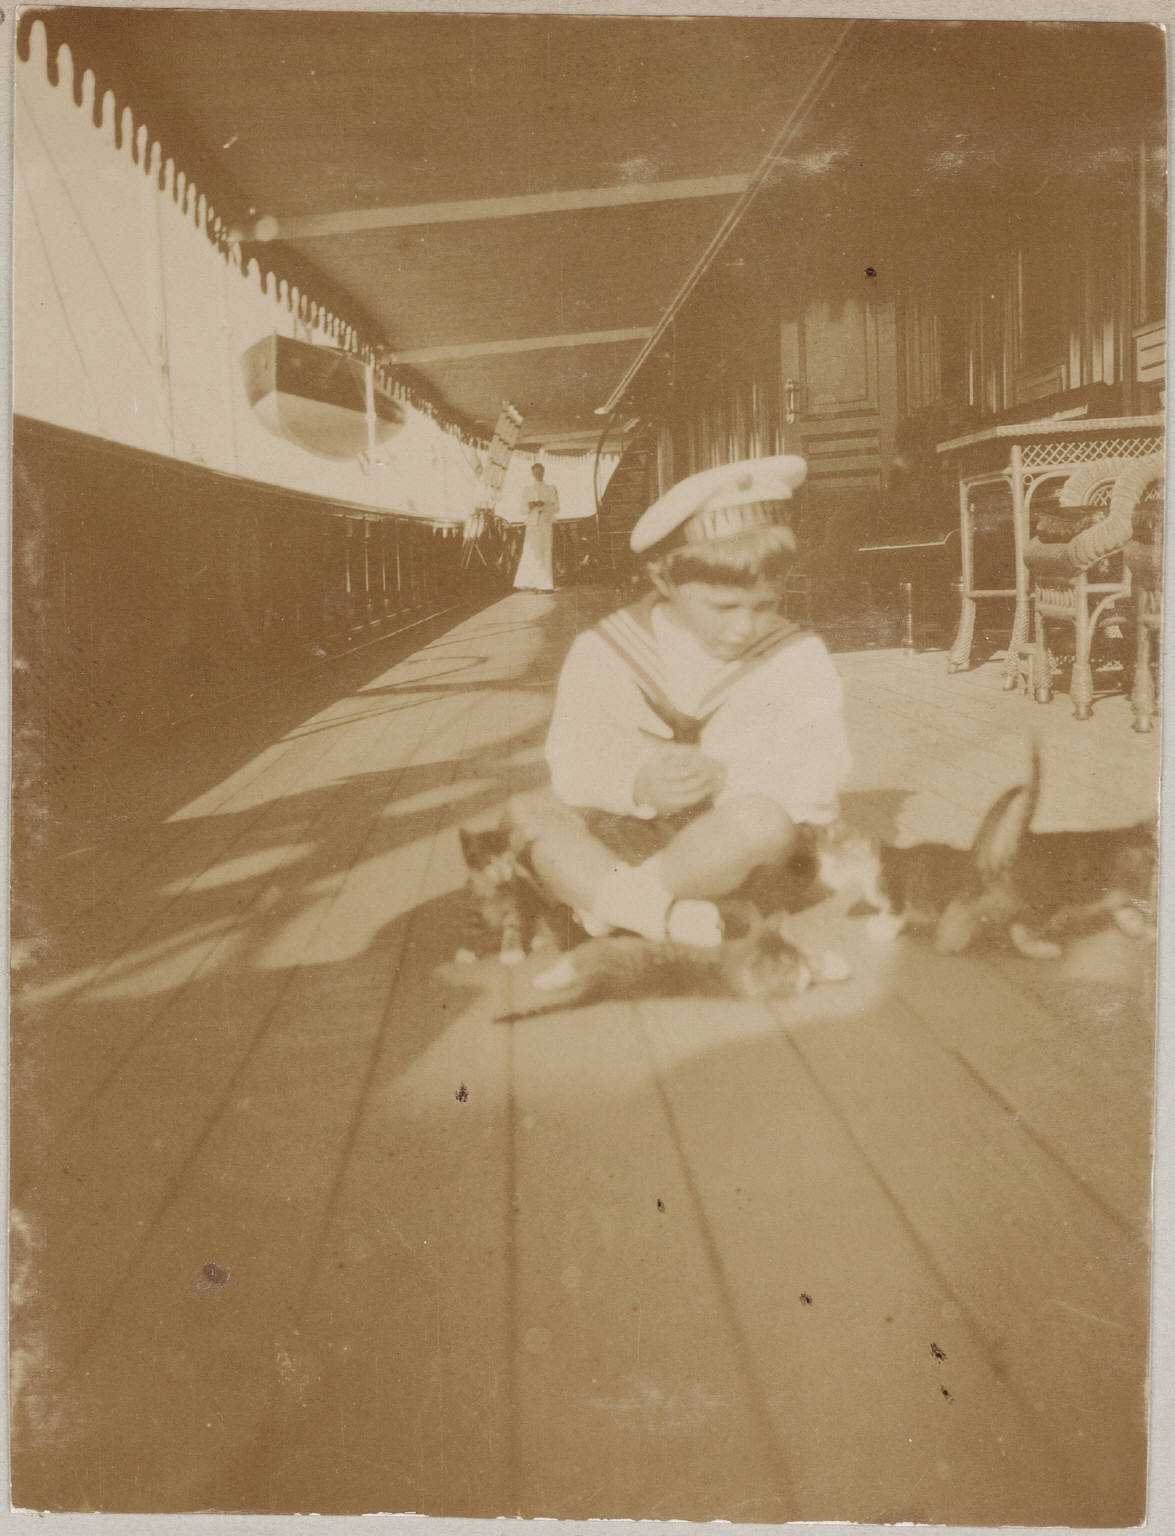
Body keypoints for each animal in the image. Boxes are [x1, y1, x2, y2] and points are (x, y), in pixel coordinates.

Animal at [455, 825, 563, 965]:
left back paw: (537, 938)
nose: (501, 872)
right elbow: (471, 927)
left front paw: (511, 953)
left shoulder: (513, 900)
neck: (493, 891)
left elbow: (512, 924)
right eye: (488, 862)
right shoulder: (473, 903)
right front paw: (468, 950)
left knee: (539, 915)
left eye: (507, 860)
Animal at [495, 902, 849, 1022]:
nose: (802, 976)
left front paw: (828, 969)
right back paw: (543, 976)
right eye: (789, 969)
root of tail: (601, 989)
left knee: (569, 967)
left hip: (598, 958)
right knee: (569, 963)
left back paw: (544, 978)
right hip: (600, 951)